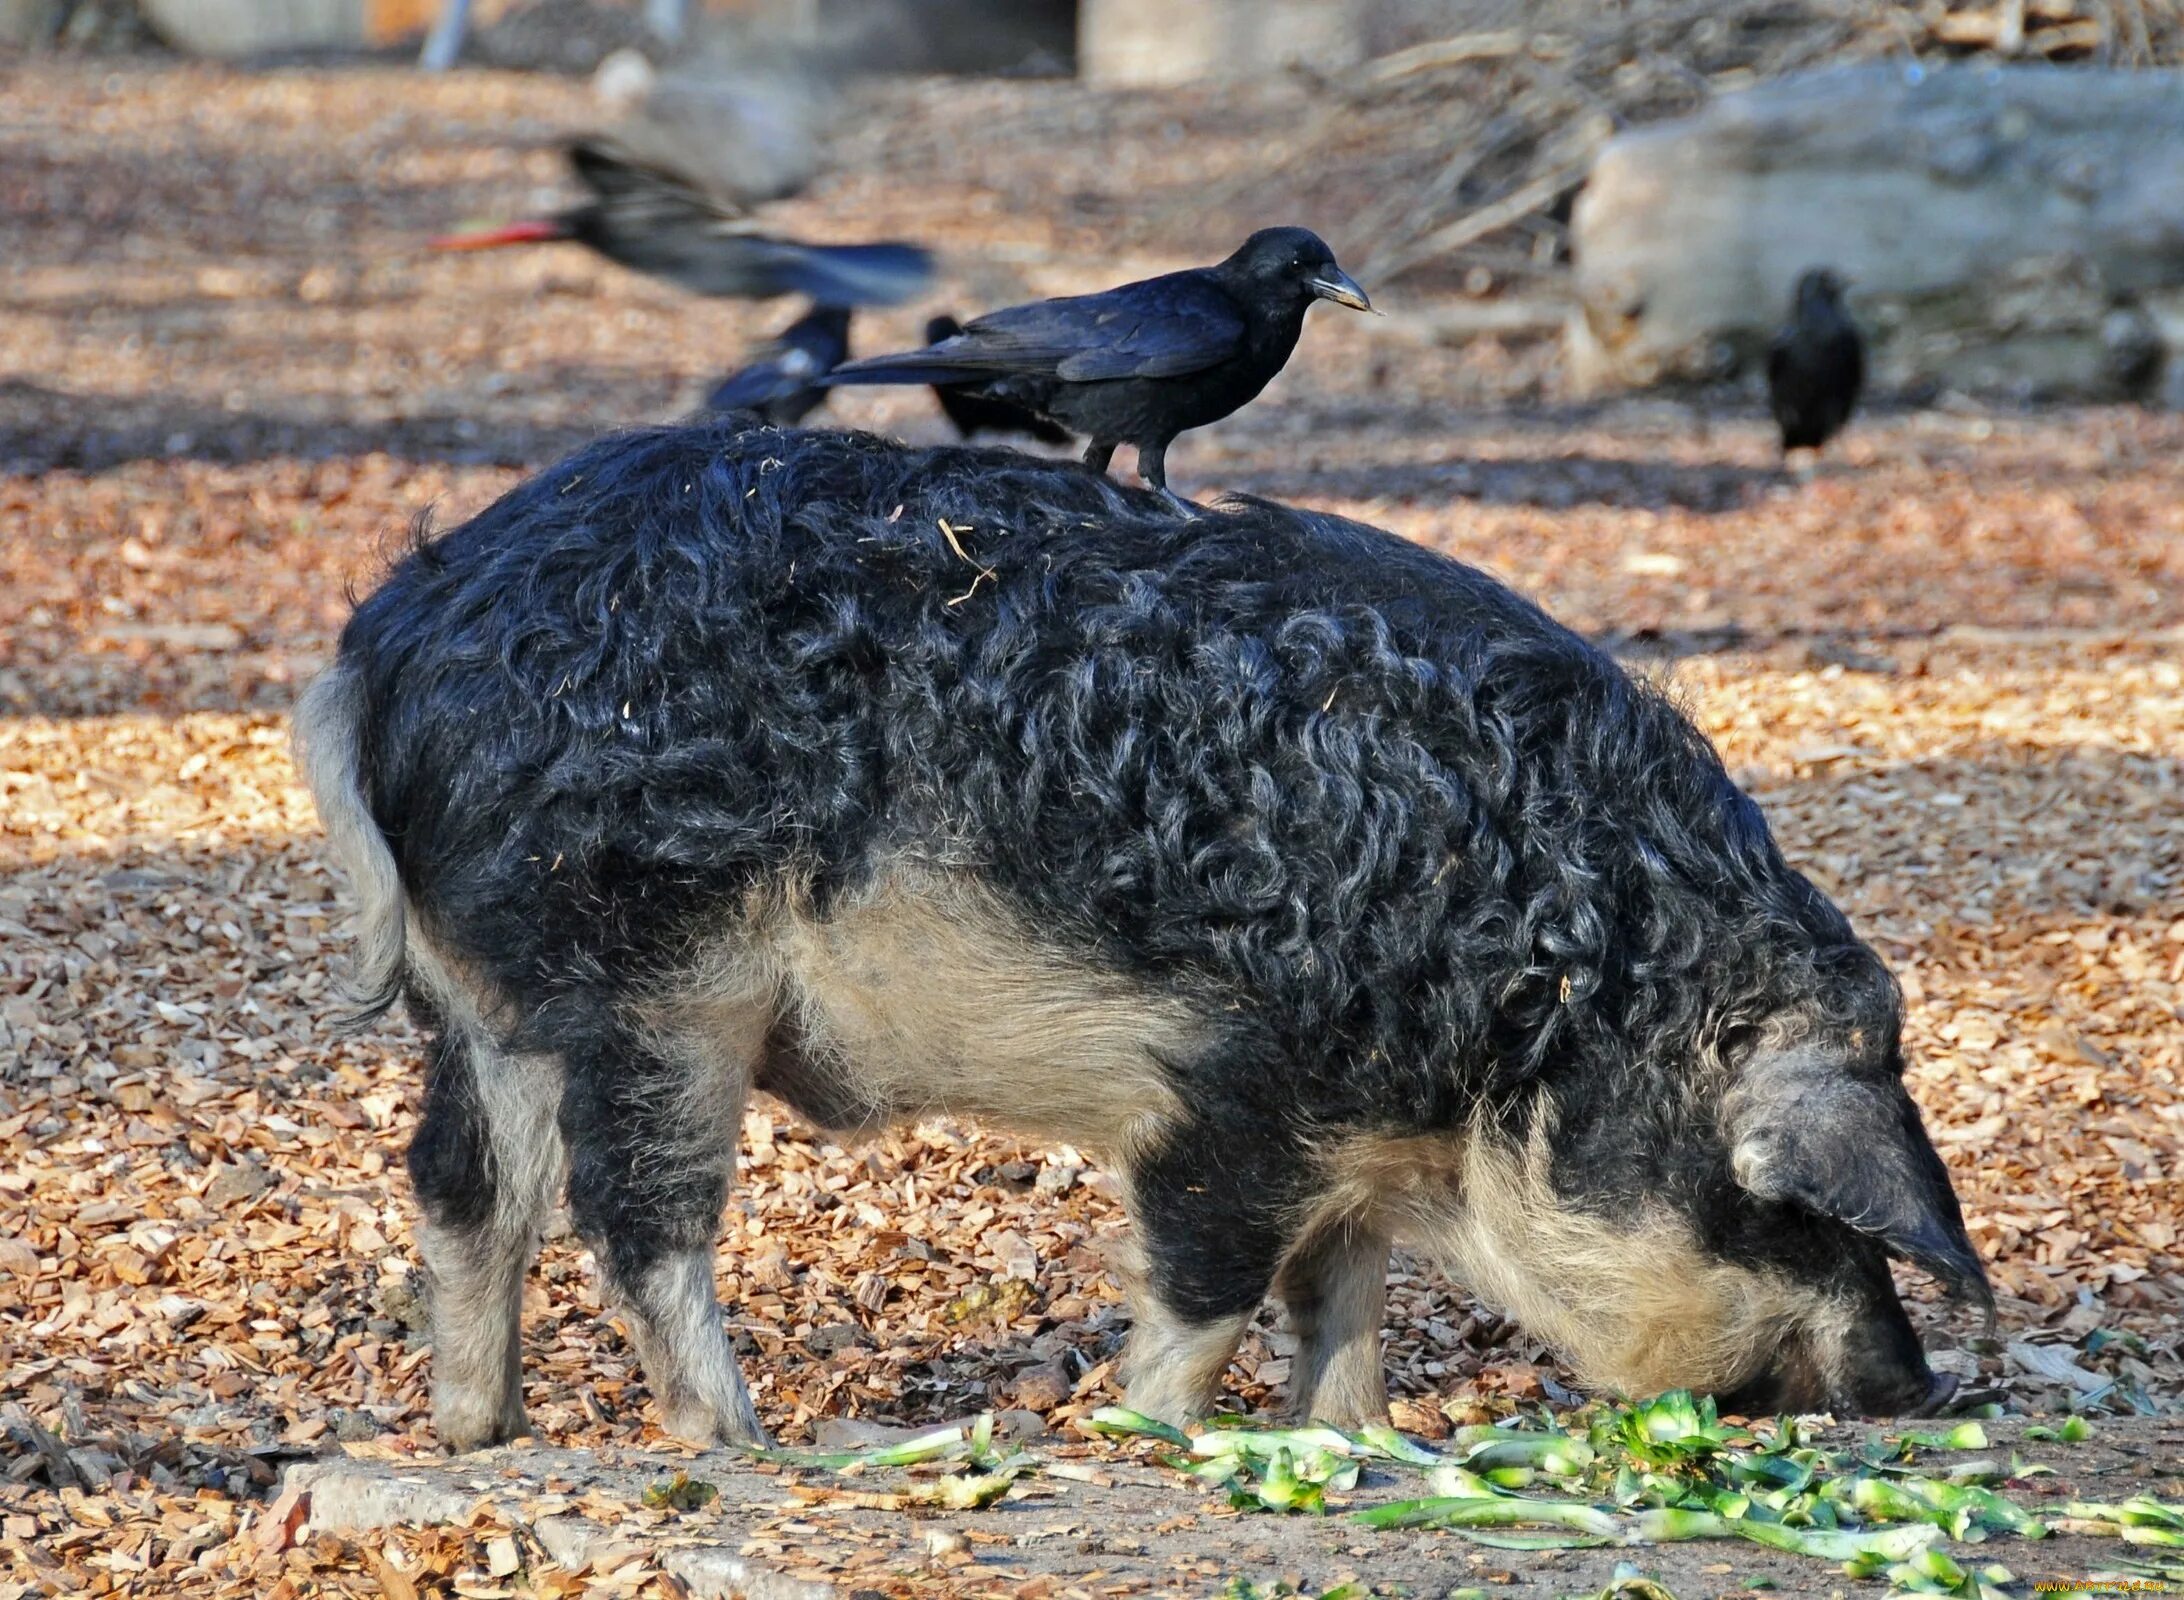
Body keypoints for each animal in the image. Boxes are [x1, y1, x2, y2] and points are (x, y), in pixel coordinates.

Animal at [299, 421, 1991, 1449]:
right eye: (1789, 1210)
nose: (1911, 1385)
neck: (1559, 996)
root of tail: (387, 638)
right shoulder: (1234, 1086)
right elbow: (1210, 1281)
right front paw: (1157, 1431)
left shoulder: (1358, 1143)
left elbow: (1343, 1290)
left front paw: (1350, 1436)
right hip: (654, 986)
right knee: (631, 1212)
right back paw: (746, 1436)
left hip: (489, 994)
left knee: (462, 1185)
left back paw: (481, 1428)